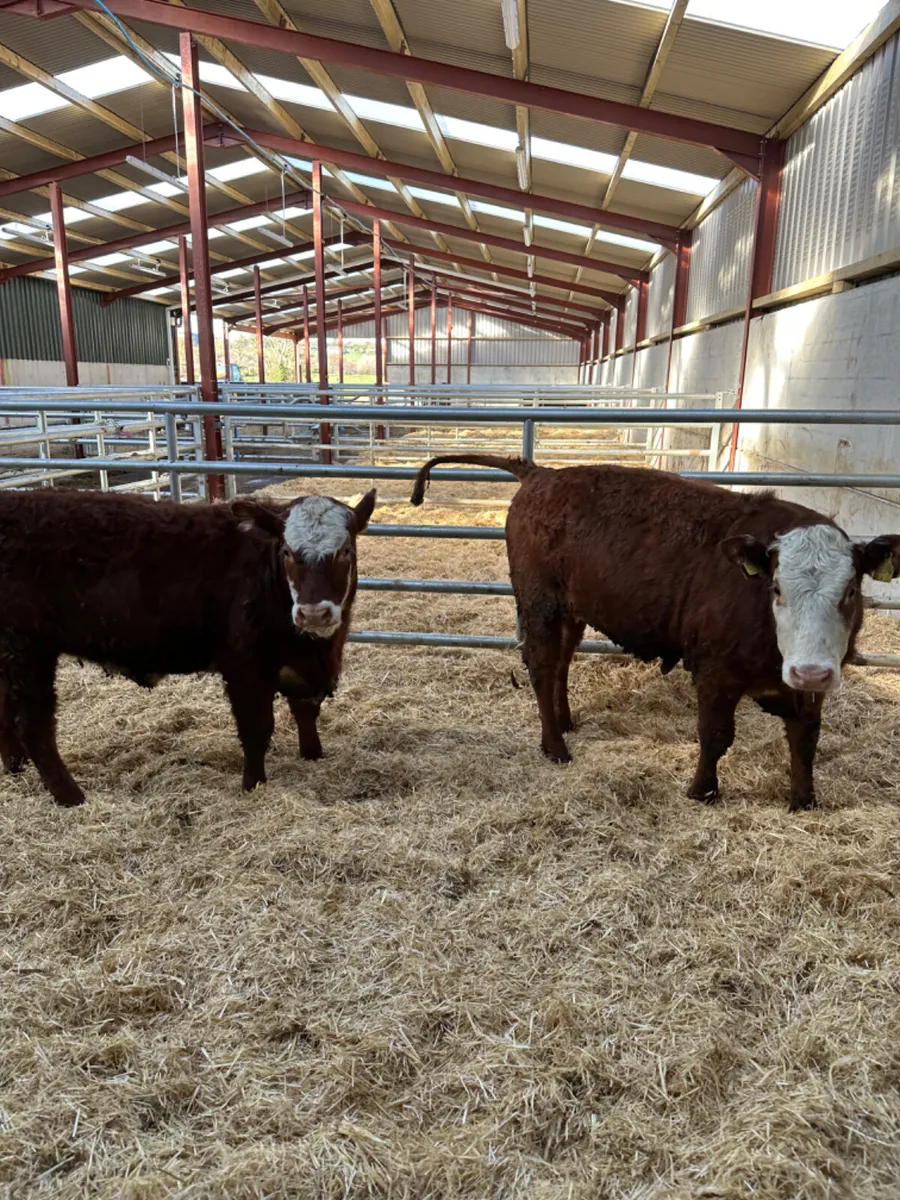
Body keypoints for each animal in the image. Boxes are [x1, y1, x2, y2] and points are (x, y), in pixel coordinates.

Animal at [0, 487, 375, 806]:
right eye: (287, 552)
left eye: (346, 551)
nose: (313, 613)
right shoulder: (245, 667)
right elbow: (256, 730)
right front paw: (253, 785)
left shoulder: (300, 666)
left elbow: (305, 711)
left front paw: (313, 754)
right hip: (28, 651)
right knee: (35, 727)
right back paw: (70, 796)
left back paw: (14, 765)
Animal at [411, 455, 900, 810]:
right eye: (777, 588)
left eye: (850, 590)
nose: (810, 671)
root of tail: (542, 475)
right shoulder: (715, 671)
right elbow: (716, 735)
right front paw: (702, 792)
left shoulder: (808, 690)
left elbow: (806, 740)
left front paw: (804, 800)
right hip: (539, 603)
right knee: (542, 666)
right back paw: (555, 746)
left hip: (571, 610)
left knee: (563, 662)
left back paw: (566, 721)